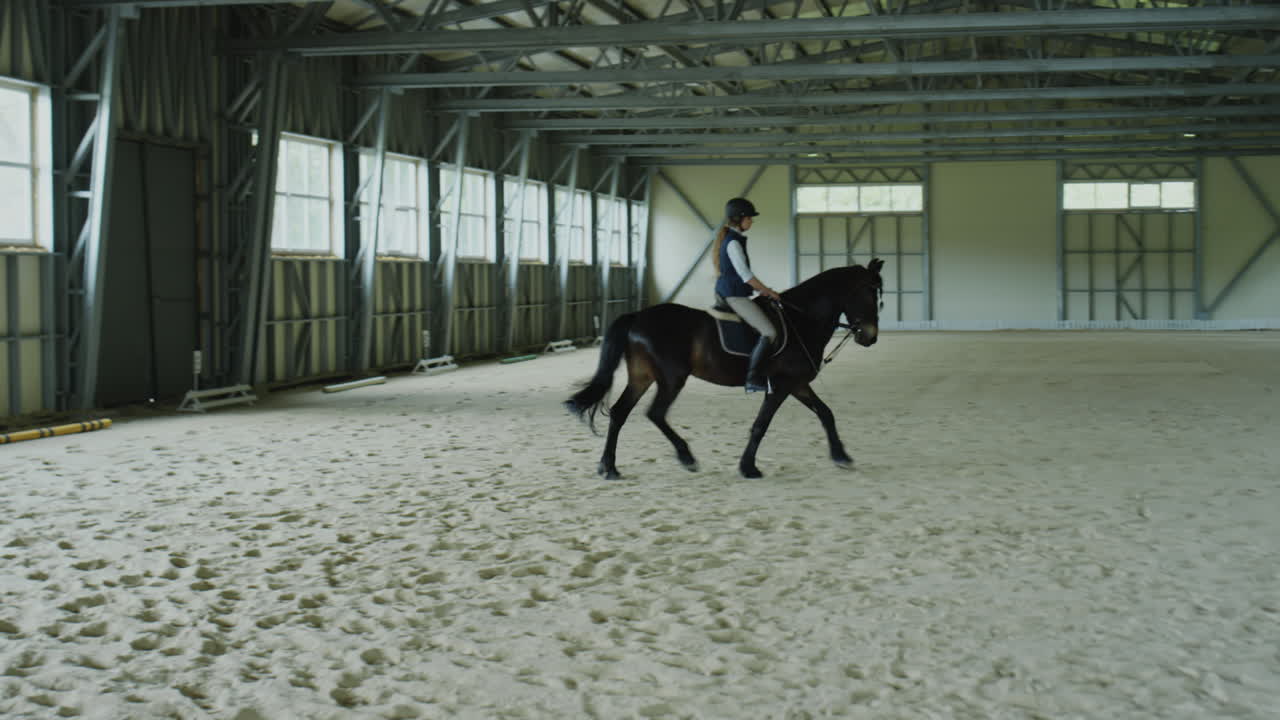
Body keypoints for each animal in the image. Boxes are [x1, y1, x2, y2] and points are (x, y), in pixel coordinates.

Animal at [564, 258, 884, 480]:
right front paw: (748, 468)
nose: (870, 337)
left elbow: (825, 413)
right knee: (655, 413)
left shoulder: (797, 383)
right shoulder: (781, 385)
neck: (801, 320)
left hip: (642, 377)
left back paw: (609, 468)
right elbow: (761, 425)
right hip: (671, 378)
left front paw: (841, 456)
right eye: (869, 294)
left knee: (620, 413)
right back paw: (686, 457)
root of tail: (637, 316)